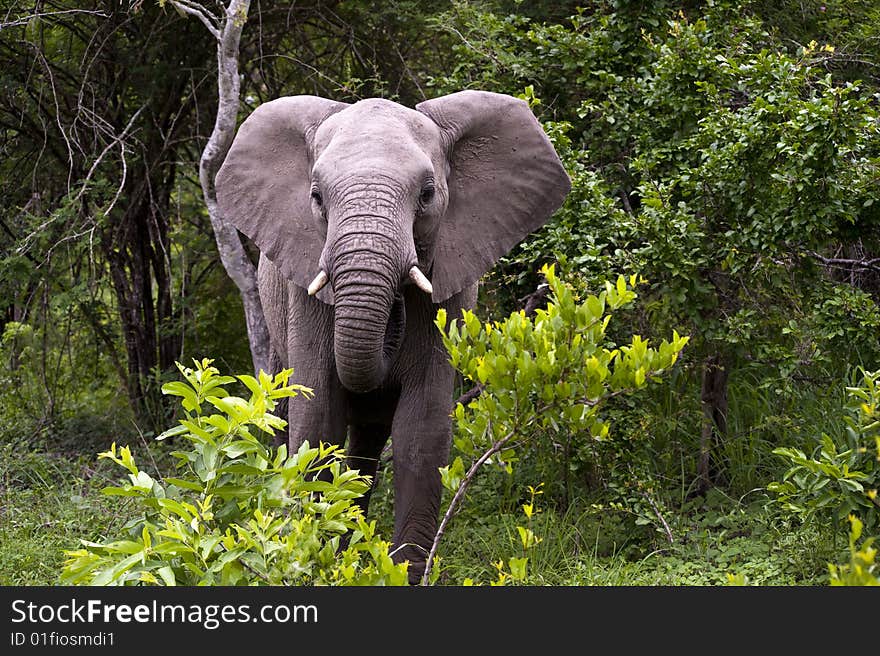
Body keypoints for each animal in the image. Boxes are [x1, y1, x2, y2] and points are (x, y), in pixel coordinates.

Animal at [217, 88, 568, 584]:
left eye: (427, 194)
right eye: (316, 197)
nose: (395, 310)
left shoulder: (450, 293)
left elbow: (420, 432)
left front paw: (400, 573)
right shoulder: (304, 293)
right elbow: (317, 422)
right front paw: (316, 561)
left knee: (367, 444)